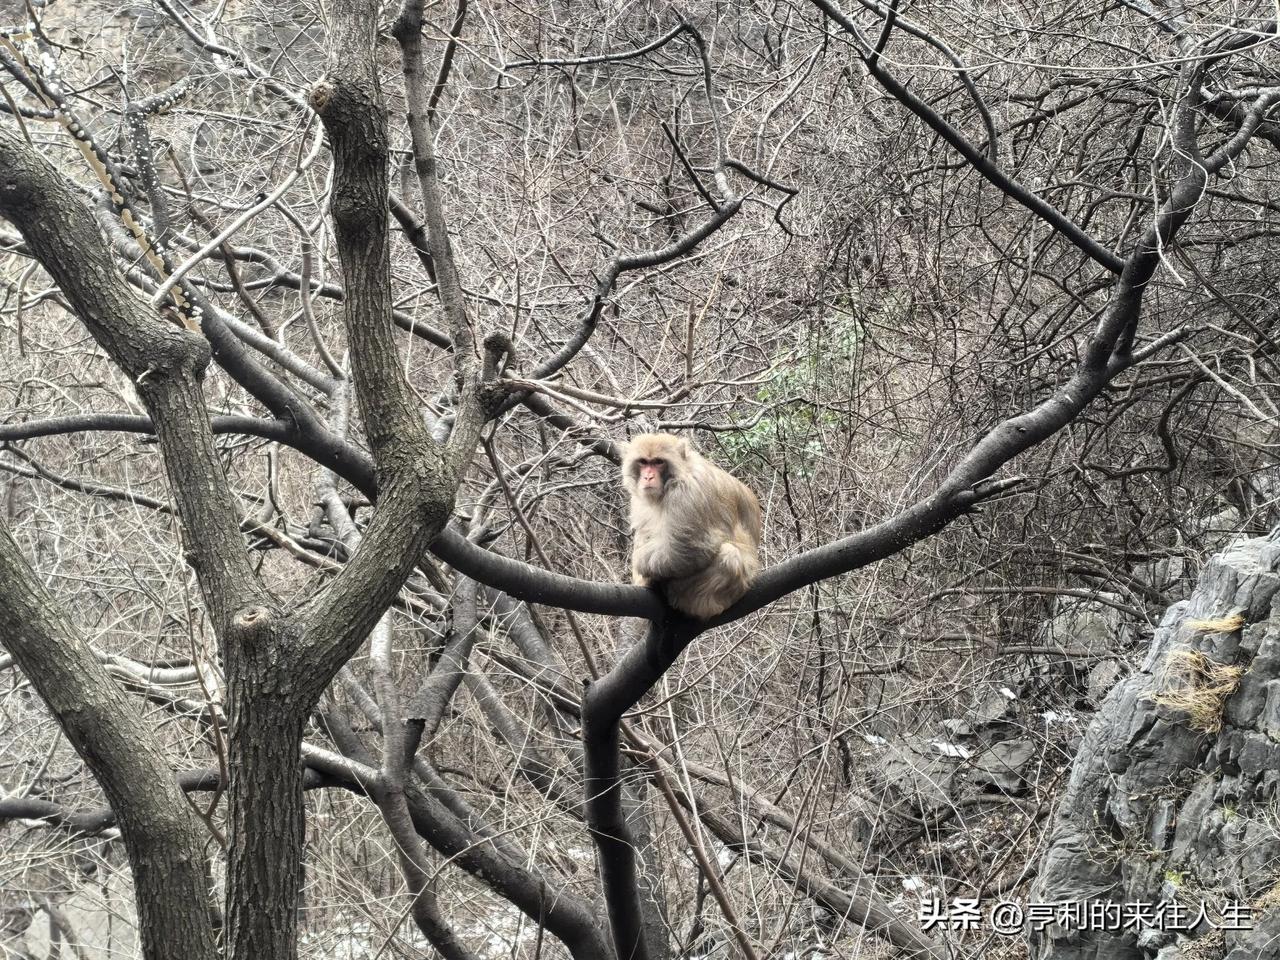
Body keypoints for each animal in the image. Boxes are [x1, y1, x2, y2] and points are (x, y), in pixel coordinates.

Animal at [619, 435, 757, 619]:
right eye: (643, 462)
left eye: (658, 462)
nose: (648, 477)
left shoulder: (687, 493)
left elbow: (689, 549)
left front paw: (641, 565)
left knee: (730, 555)